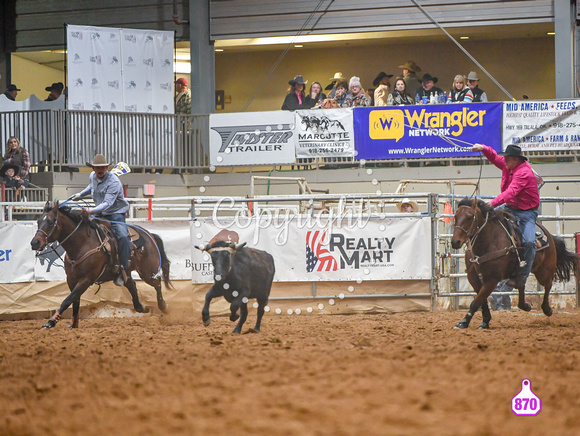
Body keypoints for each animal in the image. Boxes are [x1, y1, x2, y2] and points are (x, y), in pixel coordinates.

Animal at [31, 200, 172, 328]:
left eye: (51, 221)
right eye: (38, 221)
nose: (34, 243)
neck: (82, 244)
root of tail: (150, 235)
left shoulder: (86, 280)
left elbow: (67, 300)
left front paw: (51, 322)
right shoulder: (71, 279)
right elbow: (74, 301)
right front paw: (73, 325)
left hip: (147, 271)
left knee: (157, 282)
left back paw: (163, 307)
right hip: (125, 273)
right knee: (132, 284)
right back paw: (142, 308)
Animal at [450, 196, 576, 328]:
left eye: (470, 217)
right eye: (456, 216)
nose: (455, 242)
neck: (488, 242)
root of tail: (550, 237)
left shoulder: (492, 279)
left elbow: (476, 301)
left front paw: (464, 322)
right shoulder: (472, 277)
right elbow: (481, 301)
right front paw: (485, 321)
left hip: (544, 271)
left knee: (548, 284)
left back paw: (547, 309)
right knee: (521, 284)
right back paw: (525, 305)